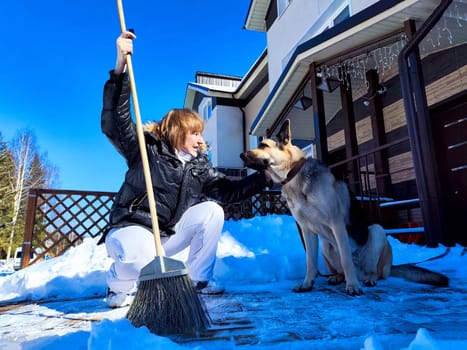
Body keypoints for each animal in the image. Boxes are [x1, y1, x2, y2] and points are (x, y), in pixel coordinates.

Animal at [241, 120, 450, 296]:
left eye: (263, 145)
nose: (241, 155)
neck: (295, 174)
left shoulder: (336, 224)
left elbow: (345, 258)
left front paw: (353, 286)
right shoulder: (307, 230)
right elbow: (310, 262)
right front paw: (307, 283)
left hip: (376, 232)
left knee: (374, 271)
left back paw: (367, 279)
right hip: (326, 246)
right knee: (339, 268)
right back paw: (337, 277)